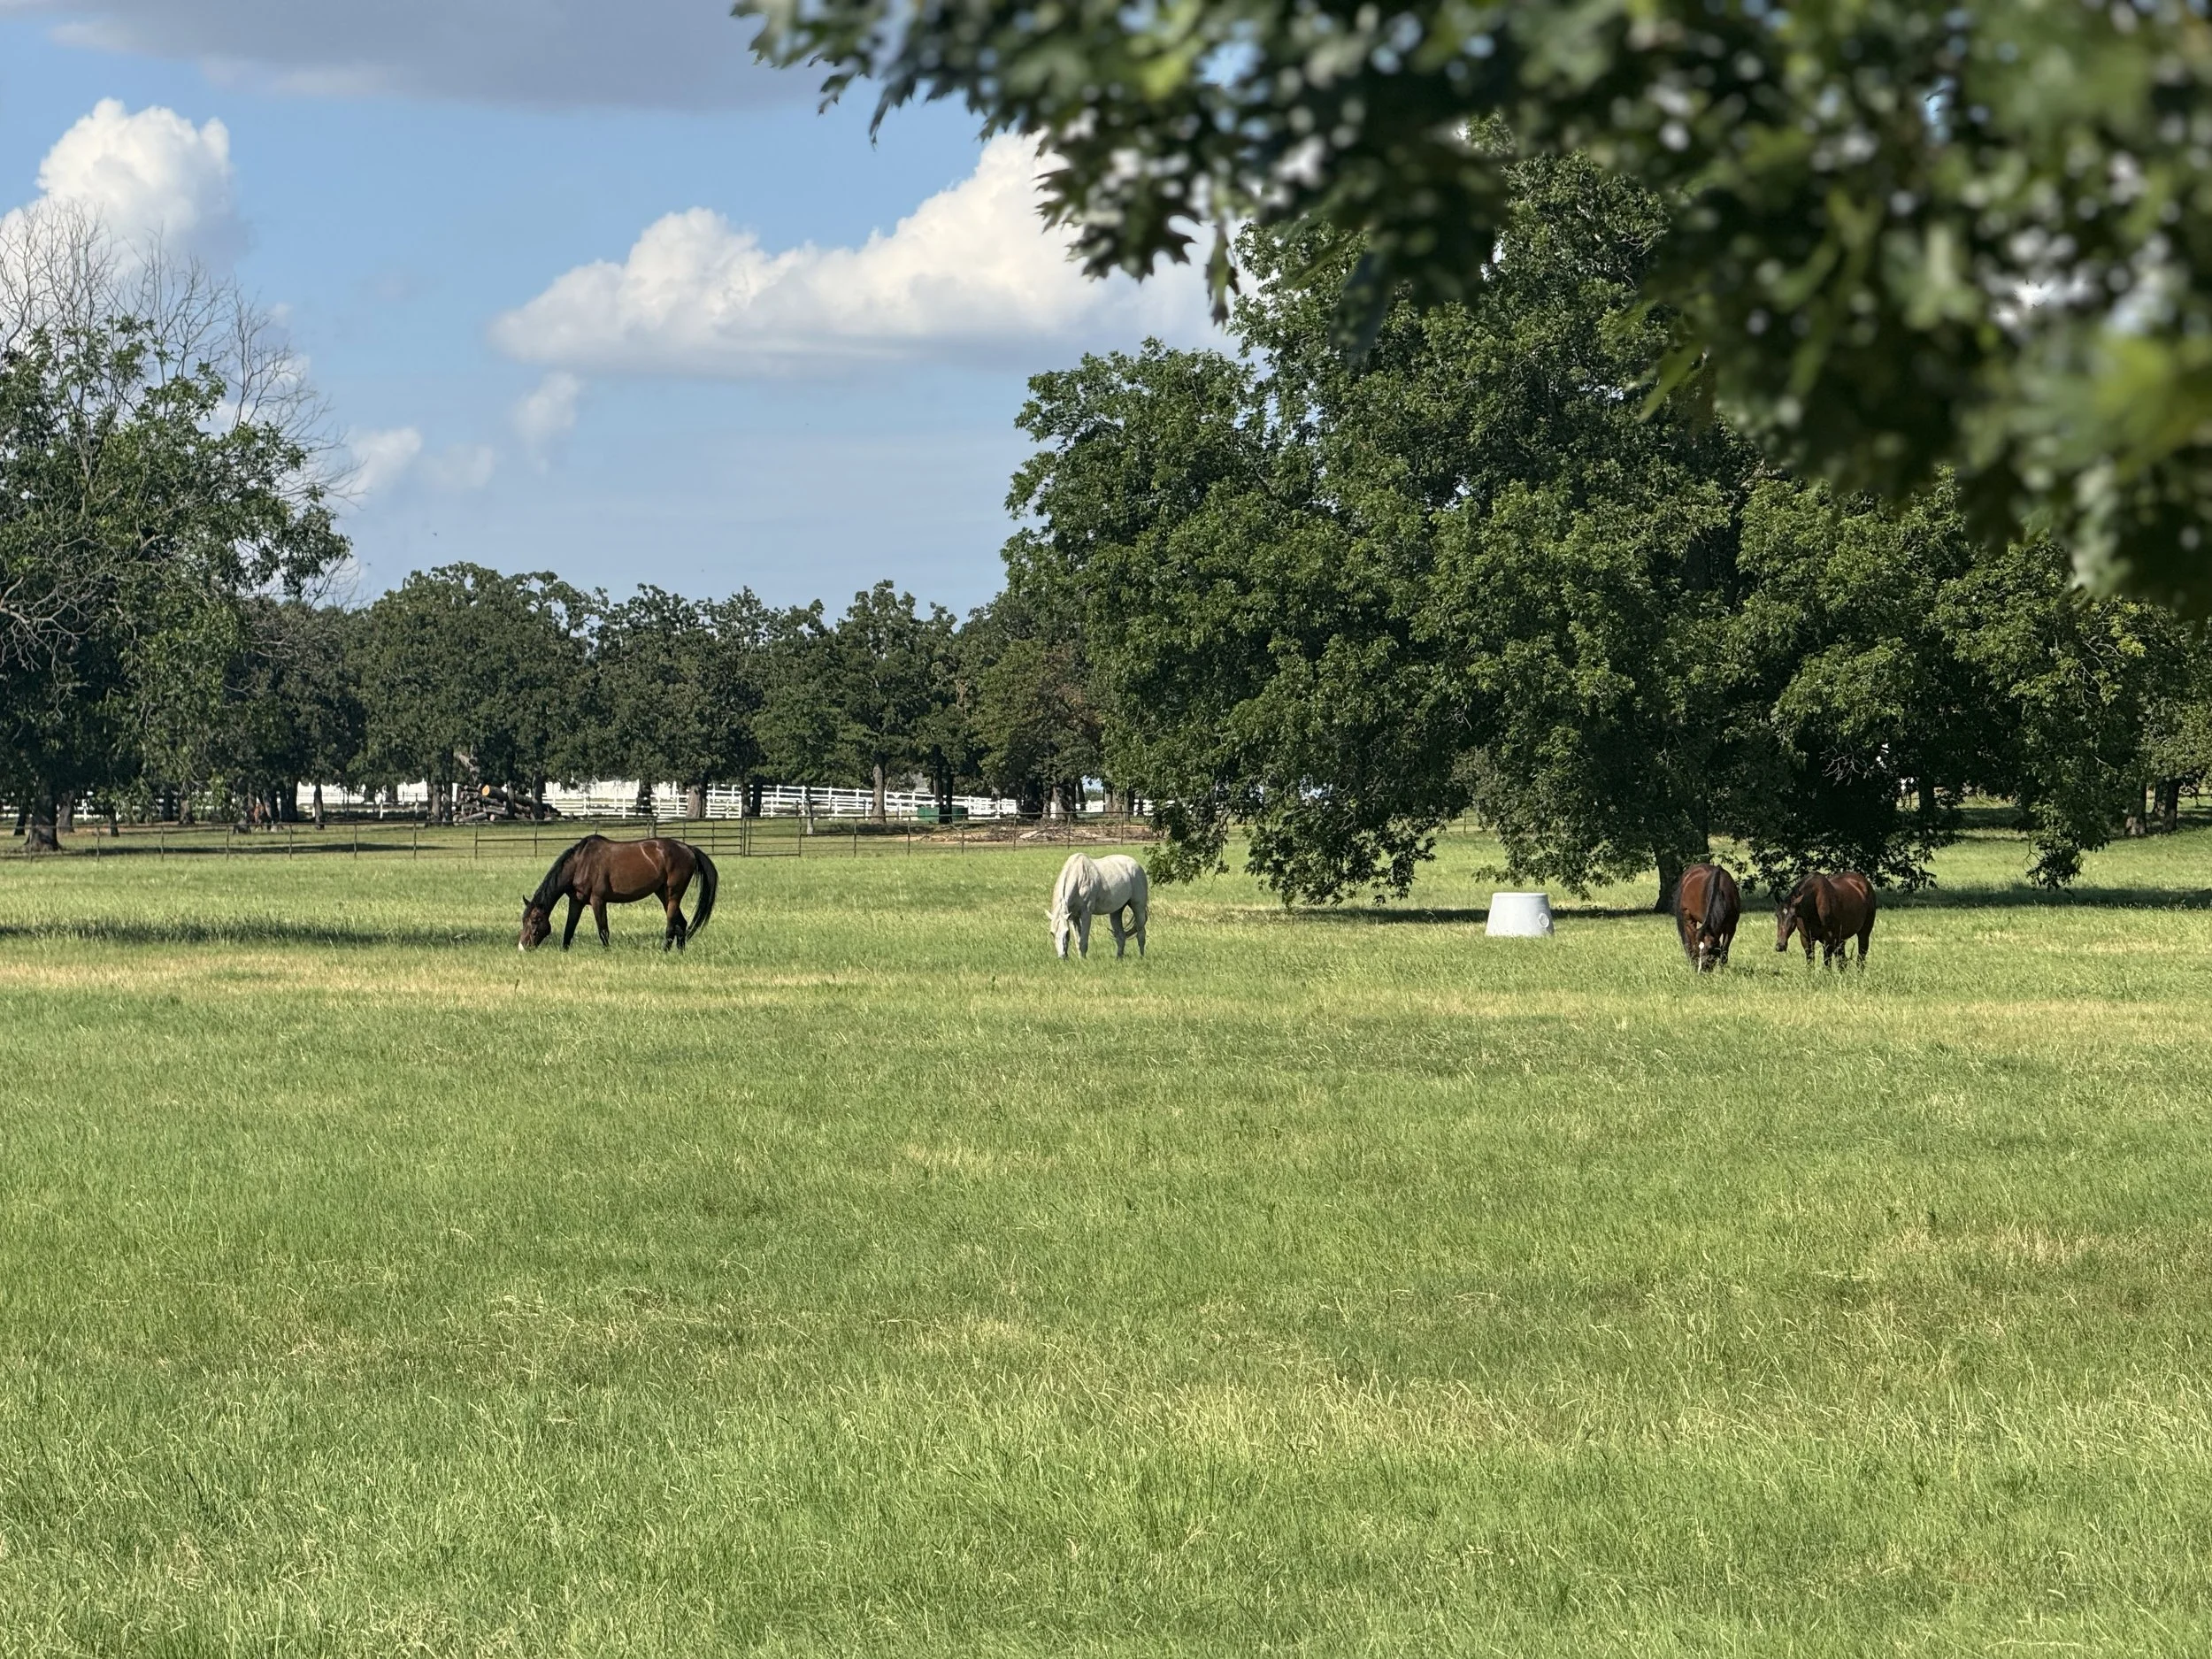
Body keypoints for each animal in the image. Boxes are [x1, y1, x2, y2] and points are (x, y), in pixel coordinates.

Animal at [519, 834, 718, 952]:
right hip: (663, 894)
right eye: (524, 920)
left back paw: (665, 951)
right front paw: (564, 951)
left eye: (535, 920)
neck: (581, 863)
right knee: (681, 923)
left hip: (673, 894)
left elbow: (603, 931)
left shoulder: (598, 901)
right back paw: (680, 951)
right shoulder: (576, 902)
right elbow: (569, 928)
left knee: (671, 925)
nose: (523, 946)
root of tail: (689, 849)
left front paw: (607, 952)